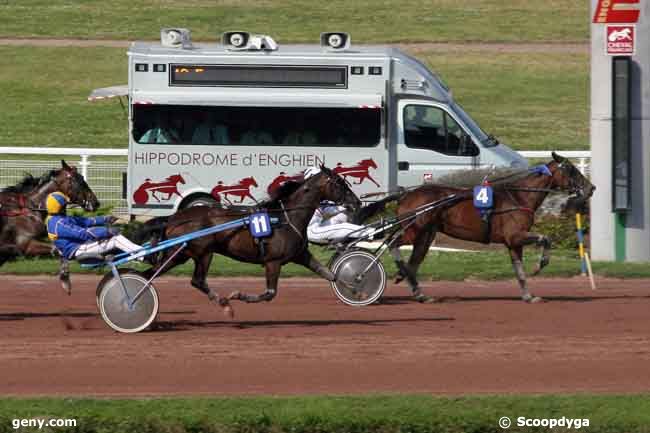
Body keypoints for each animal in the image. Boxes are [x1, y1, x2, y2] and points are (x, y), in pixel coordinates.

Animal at [138, 165, 360, 314]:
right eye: (340, 183)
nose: (357, 202)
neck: (286, 218)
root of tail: (173, 218)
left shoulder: (301, 255)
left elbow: (329, 274)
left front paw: (354, 288)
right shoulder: (273, 262)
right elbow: (270, 293)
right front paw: (238, 296)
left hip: (179, 254)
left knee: (149, 274)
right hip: (204, 253)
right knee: (197, 280)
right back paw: (224, 303)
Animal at [382, 154, 596, 302]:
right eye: (571, 170)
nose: (591, 188)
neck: (519, 197)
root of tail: (405, 195)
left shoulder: (513, 243)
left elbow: (519, 271)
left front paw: (528, 296)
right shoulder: (515, 236)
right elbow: (546, 238)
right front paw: (538, 265)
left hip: (425, 234)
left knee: (414, 260)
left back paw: (417, 290)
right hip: (414, 230)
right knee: (391, 243)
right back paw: (402, 273)